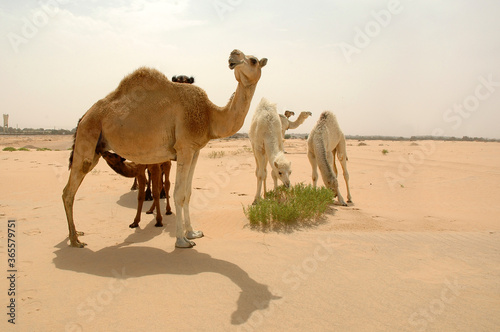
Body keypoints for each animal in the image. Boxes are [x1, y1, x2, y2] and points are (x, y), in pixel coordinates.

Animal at [62, 48, 268, 246]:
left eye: (253, 60)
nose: (233, 54)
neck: (209, 115)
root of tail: (84, 116)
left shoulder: (195, 151)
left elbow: (188, 192)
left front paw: (193, 232)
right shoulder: (184, 148)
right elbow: (179, 194)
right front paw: (182, 240)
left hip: (96, 147)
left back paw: (76, 234)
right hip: (88, 135)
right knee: (68, 192)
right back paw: (75, 240)